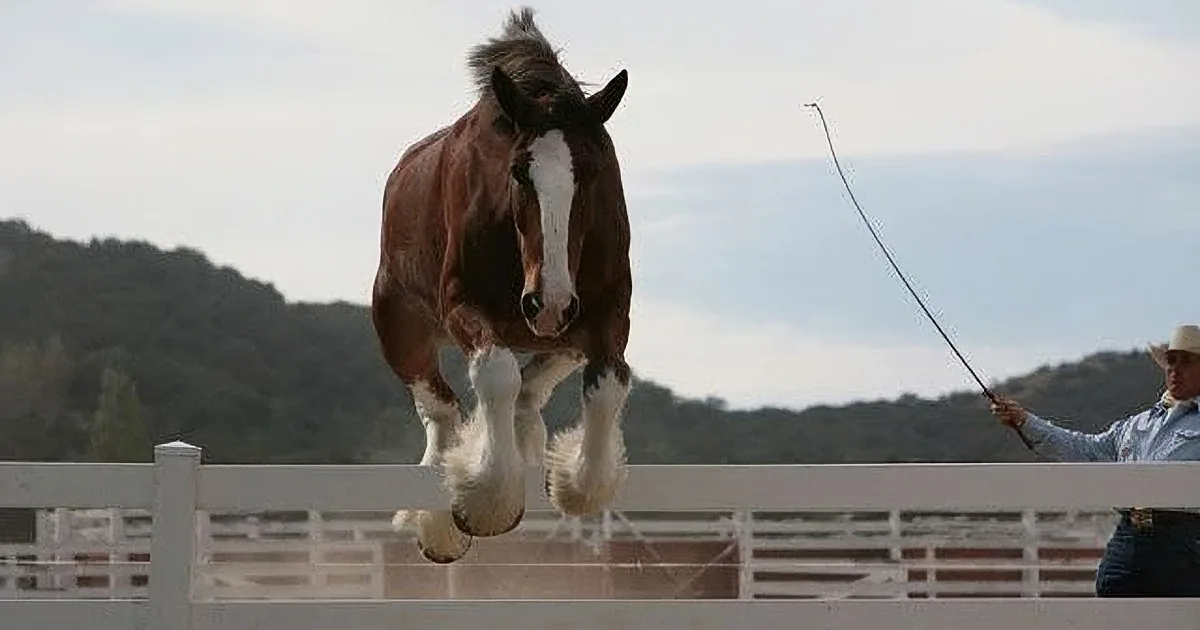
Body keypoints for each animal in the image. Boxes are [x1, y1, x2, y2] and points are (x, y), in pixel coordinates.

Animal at [371, 7, 632, 564]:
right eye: (517, 172)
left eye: (594, 171)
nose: (548, 303)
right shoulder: (464, 306)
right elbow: (494, 374)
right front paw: (485, 499)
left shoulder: (606, 315)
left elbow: (607, 387)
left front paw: (569, 481)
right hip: (399, 324)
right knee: (441, 407)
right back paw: (437, 523)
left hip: (562, 337)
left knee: (530, 391)